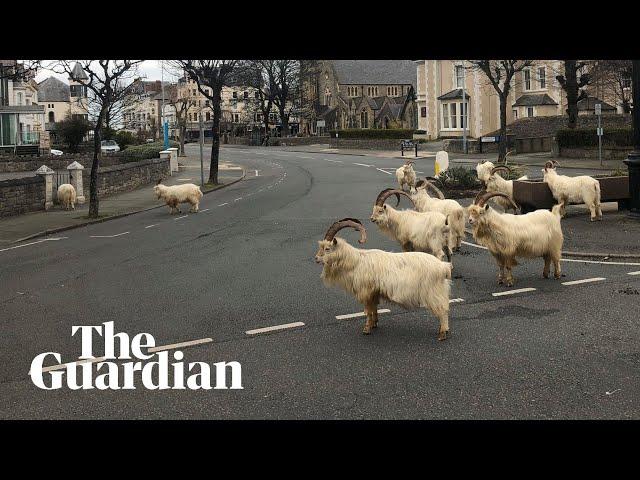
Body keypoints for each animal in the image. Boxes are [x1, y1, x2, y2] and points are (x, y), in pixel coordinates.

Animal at [314, 218, 452, 338]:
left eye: (327, 248)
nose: (316, 258)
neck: (356, 261)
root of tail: (443, 267)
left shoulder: (366, 291)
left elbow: (368, 311)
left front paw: (366, 329)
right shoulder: (374, 292)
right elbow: (374, 309)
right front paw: (374, 324)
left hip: (434, 292)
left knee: (443, 310)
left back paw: (442, 333)